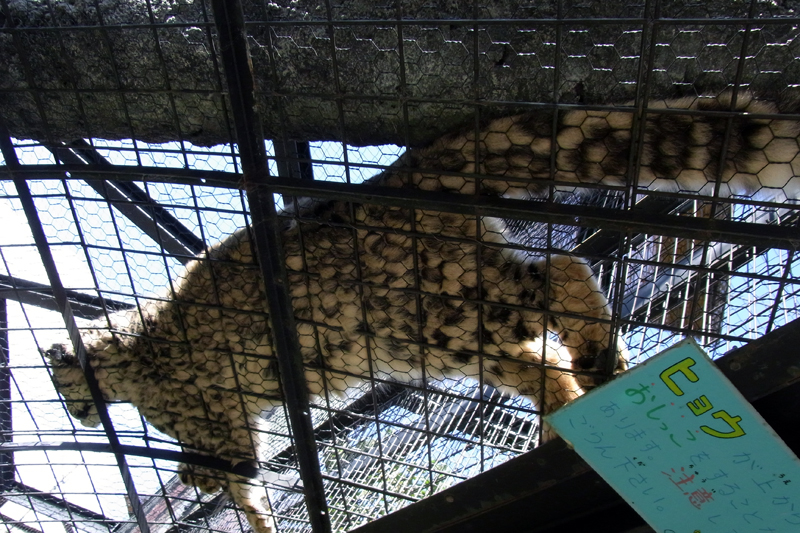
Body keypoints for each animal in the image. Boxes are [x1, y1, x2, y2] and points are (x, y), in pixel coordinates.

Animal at [45, 92, 799, 533]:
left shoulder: (215, 423)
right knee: (542, 364)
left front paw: (197, 478)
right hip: (461, 339)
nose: (75, 414)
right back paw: (569, 407)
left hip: (451, 311)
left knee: (562, 273)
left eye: (56, 383)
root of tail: (399, 176)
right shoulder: (235, 429)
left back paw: (595, 356)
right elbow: (245, 483)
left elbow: (226, 464)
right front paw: (248, 512)